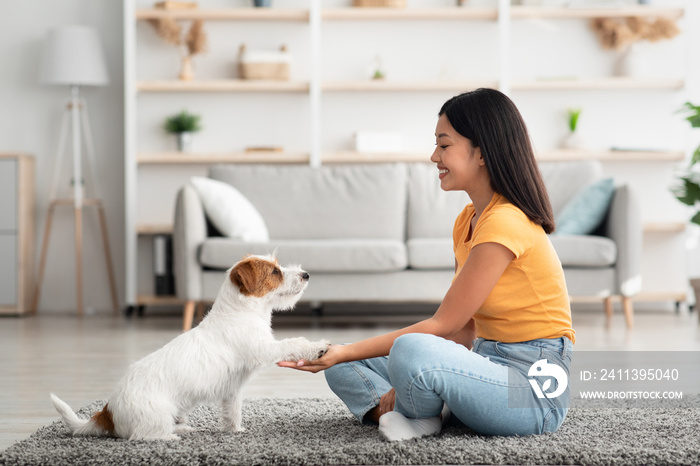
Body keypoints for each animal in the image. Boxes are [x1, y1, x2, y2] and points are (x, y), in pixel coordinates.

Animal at [50, 255, 330, 440]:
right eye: (274, 272)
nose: (306, 275)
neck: (241, 311)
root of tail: (108, 411)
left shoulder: (232, 389)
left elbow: (232, 411)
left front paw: (235, 431)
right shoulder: (264, 348)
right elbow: (292, 343)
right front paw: (318, 347)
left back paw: (181, 428)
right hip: (157, 414)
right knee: (143, 436)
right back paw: (171, 438)